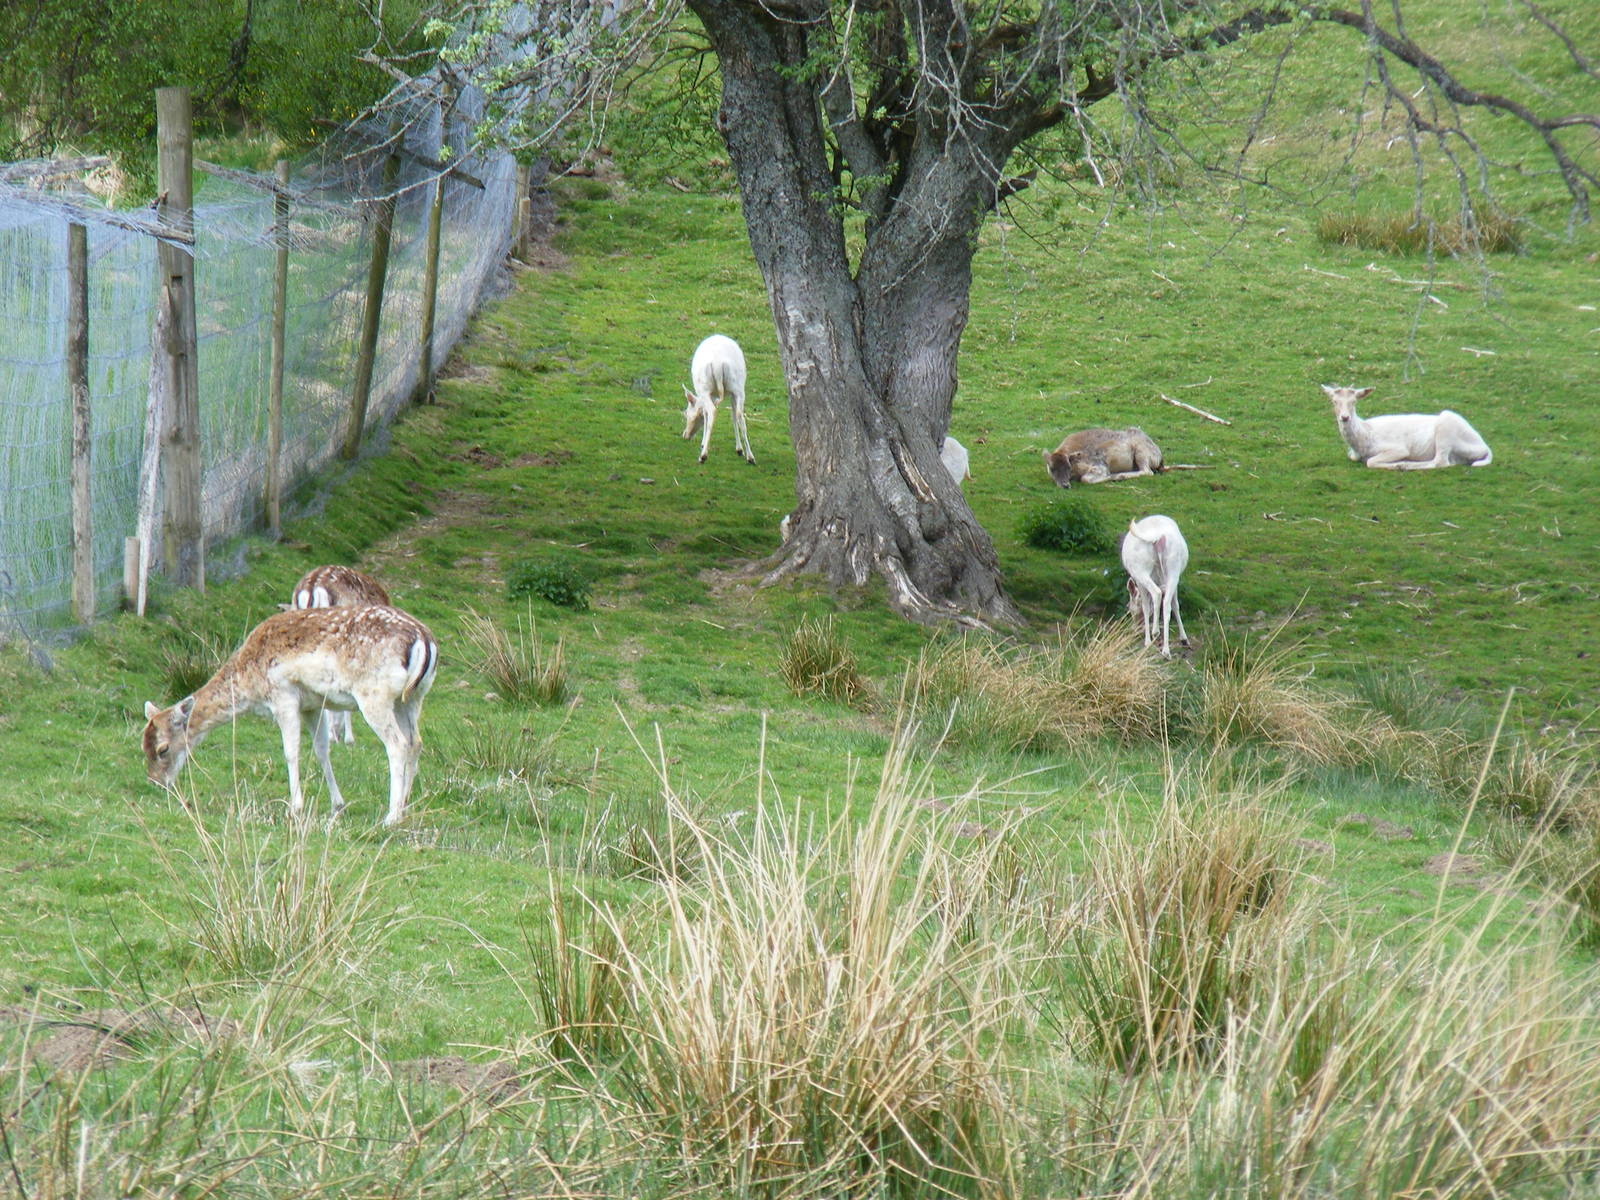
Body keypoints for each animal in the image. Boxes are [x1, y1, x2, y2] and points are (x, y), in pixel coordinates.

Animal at [141, 606, 438, 827]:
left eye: (162, 749)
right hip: (412, 697)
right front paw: (337, 805)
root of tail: (424, 638)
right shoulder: (313, 705)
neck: (249, 681)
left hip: (374, 695)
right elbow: (321, 750)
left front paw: (294, 807)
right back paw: (406, 806)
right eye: (142, 746)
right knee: (416, 742)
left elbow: (291, 751)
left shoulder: (283, 696)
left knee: (397, 744)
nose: (156, 782)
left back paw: (391, 816)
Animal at [682, 333, 753, 465]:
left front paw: (702, 443)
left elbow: (705, 414)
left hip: (705, 387)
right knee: (740, 414)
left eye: (686, 413)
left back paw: (703, 456)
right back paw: (750, 457)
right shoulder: (730, 394)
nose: (685, 435)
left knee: (712, 411)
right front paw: (739, 449)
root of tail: (718, 364)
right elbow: (733, 415)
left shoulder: (705, 394)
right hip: (738, 387)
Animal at [1322, 384, 1492, 469]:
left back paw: (1404, 464)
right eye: (1334, 401)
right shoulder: (1352, 454)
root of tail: (1485, 448)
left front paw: (1396, 463)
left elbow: (1371, 462)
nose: (1345, 417)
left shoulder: (1397, 448)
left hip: (1447, 428)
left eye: (1354, 401)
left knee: (1440, 462)